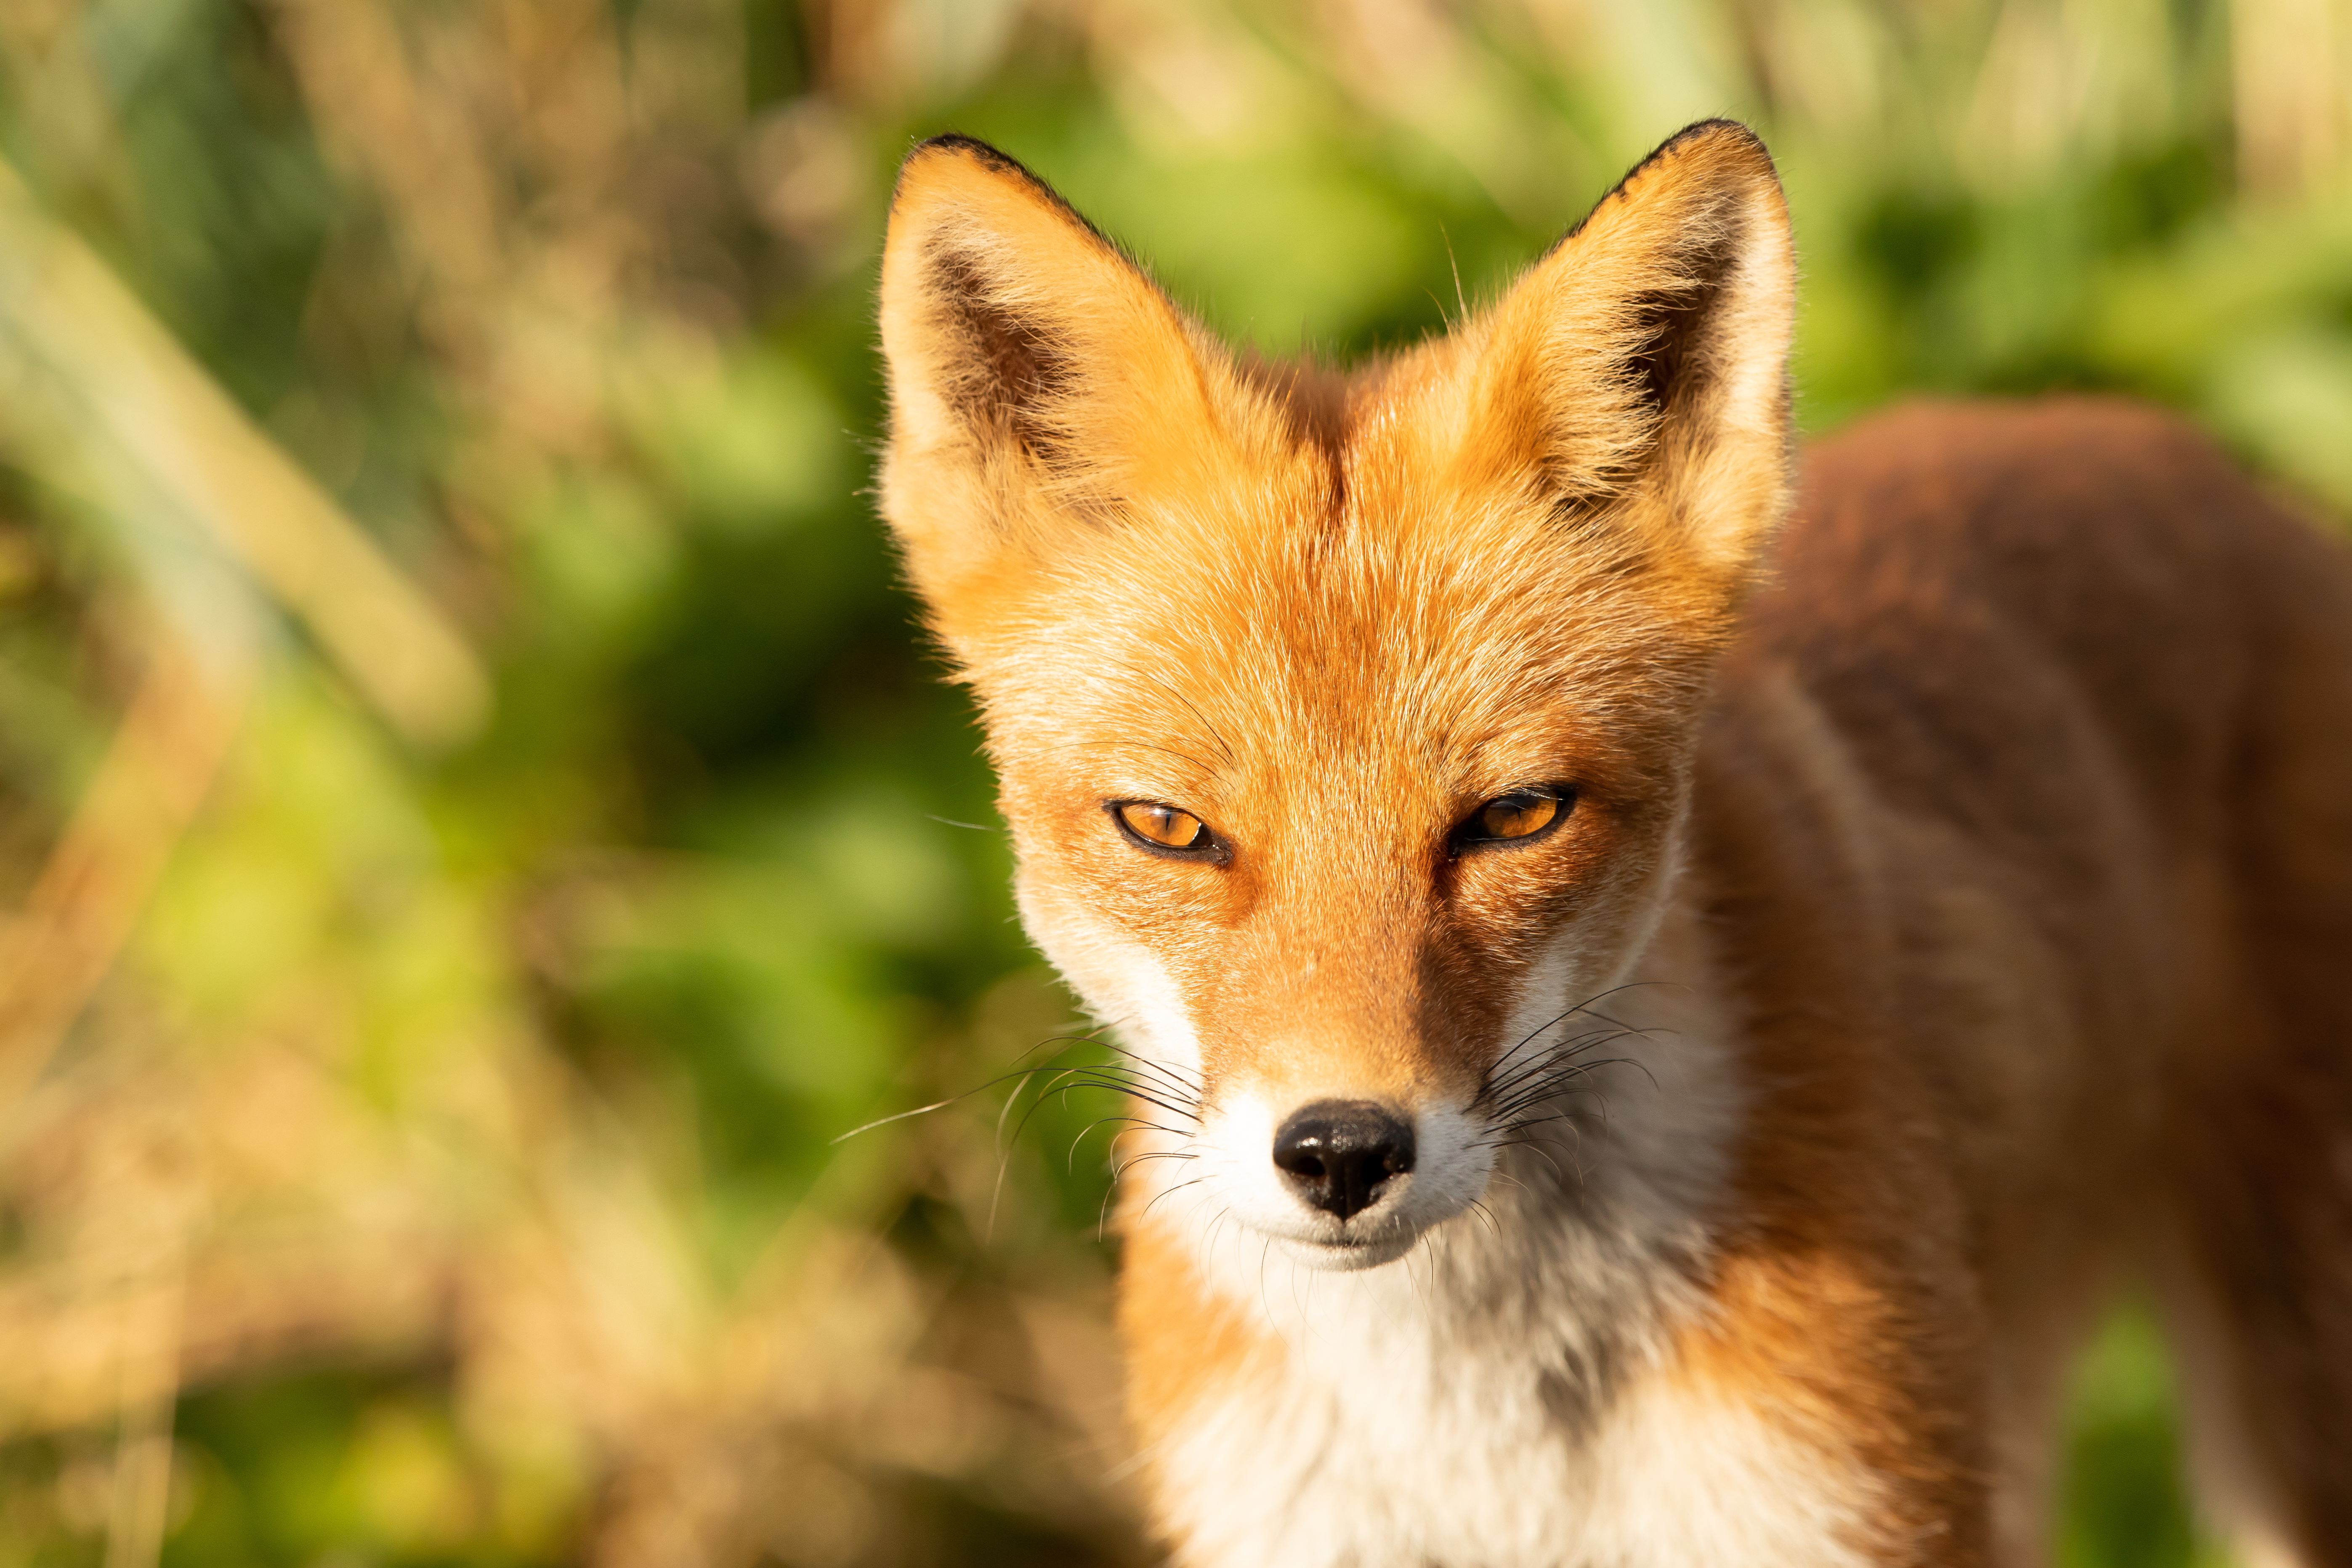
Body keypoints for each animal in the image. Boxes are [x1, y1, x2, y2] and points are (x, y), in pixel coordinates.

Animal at [870, 122, 2352, 1568]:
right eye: (1168, 829)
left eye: (1516, 816)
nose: (1341, 1151)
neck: (1479, 1436)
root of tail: (2187, 450)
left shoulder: (1846, 1501)